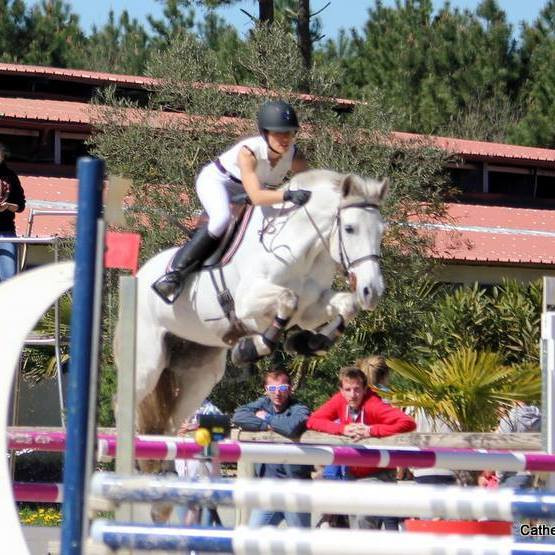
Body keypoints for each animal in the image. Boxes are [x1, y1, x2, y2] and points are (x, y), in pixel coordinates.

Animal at [115, 169, 388, 459]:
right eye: (350, 228)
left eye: (382, 231)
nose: (372, 291)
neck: (302, 251)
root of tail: (139, 275)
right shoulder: (247, 303)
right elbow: (287, 299)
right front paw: (253, 347)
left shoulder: (311, 309)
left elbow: (346, 306)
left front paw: (310, 342)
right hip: (147, 362)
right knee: (125, 403)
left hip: (200, 373)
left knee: (170, 424)